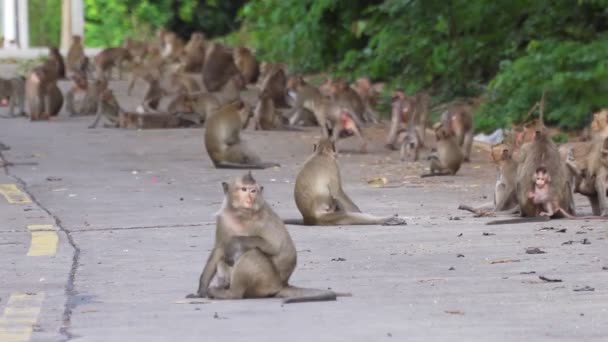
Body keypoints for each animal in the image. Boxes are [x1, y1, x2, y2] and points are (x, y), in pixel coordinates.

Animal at [185, 172, 342, 304]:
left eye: (253, 190)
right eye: (244, 189)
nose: (250, 197)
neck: (241, 214)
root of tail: (282, 284)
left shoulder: (263, 218)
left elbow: (275, 246)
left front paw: (234, 241)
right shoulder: (223, 219)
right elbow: (219, 249)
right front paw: (201, 290)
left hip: (266, 282)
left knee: (253, 253)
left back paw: (230, 294)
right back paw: (224, 287)